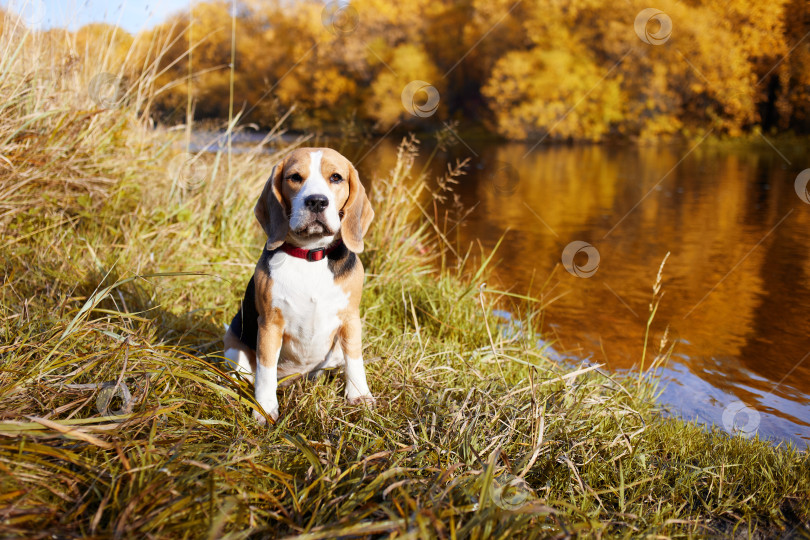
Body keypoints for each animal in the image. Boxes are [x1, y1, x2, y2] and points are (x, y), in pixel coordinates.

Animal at [221, 149, 372, 426]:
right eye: (294, 177)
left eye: (336, 177)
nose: (317, 202)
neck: (310, 254)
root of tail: (296, 376)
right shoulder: (270, 324)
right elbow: (266, 371)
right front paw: (264, 409)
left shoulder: (350, 319)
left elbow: (355, 360)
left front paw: (359, 396)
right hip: (235, 352)